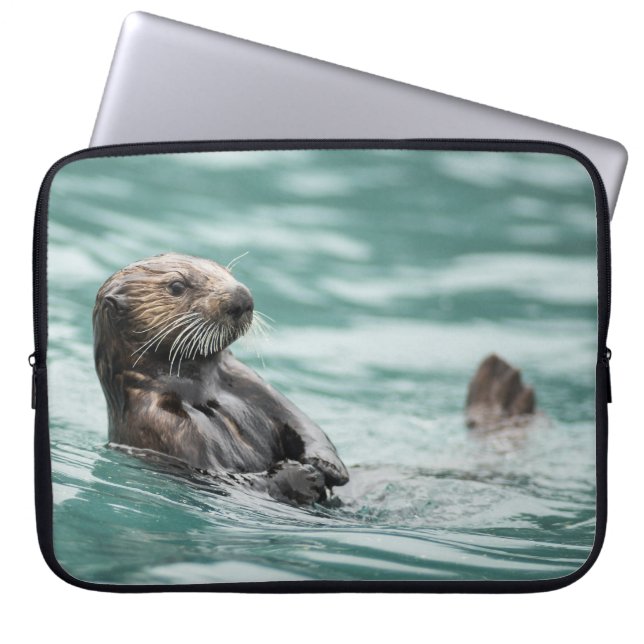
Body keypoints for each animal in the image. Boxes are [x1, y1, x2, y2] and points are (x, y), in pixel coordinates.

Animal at [93, 253, 349, 505]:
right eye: (176, 286)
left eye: (227, 272)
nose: (242, 297)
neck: (202, 391)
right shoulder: (162, 424)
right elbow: (228, 479)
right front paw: (303, 476)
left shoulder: (250, 383)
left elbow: (302, 423)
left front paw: (328, 465)